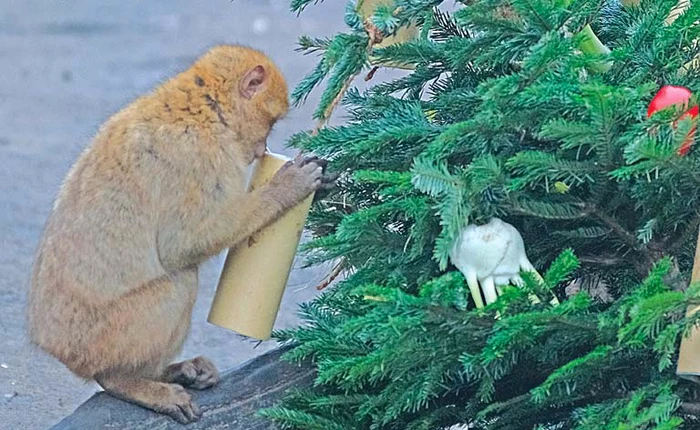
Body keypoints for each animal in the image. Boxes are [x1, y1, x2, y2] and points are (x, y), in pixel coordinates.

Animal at [26, 44, 334, 424]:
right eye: (271, 122)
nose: (262, 149)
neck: (205, 109)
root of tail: (53, 347)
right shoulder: (200, 157)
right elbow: (183, 244)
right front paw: (286, 188)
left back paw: (171, 372)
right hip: (102, 338)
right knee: (180, 280)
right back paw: (127, 381)